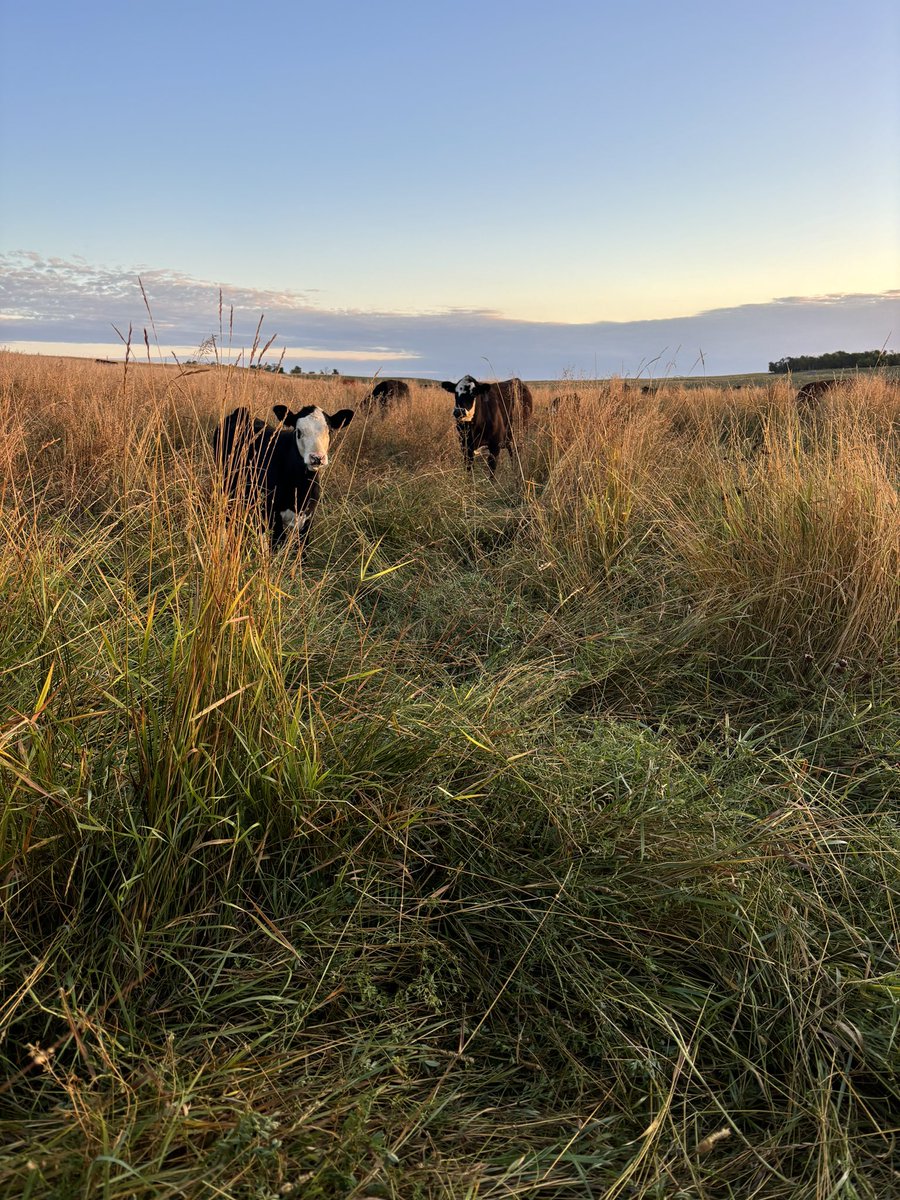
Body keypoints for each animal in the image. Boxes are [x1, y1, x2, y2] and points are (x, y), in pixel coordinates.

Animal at [212, 402, 354, 551]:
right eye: (298, 432)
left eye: (330, 431)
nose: (317, 458)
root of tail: (241, 412)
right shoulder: (274, 517)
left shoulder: (308, 520)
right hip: (225, 483)